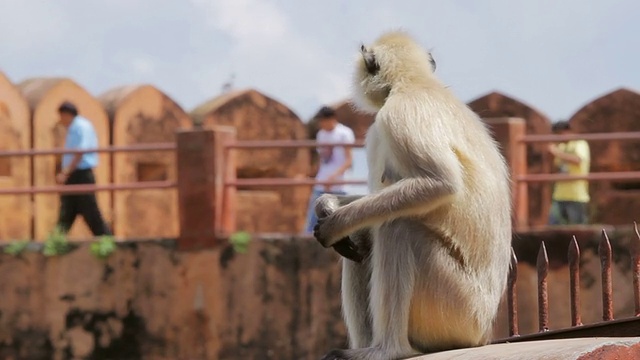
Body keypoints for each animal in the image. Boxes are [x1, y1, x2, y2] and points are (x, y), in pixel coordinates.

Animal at [312, 31, 512, 360]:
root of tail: (482, 333)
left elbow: (440, 183)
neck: (414, 82)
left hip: (456, 307)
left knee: (398, 227)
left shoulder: (398, 115)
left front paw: (334, 223)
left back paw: (387, 350)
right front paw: (326, 205)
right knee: (368, 235)